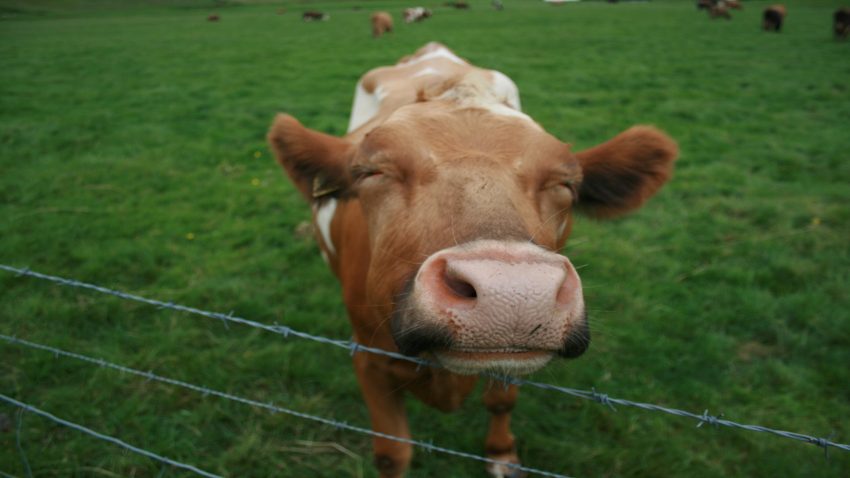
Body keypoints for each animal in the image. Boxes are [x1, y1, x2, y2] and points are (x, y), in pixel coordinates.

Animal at [267, 42, 678, 478]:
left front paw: (501, 454)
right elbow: (392, 451)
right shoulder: (368, 358)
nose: (513, 293)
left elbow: (500, 401)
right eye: (372, 172)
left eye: (566, 183)